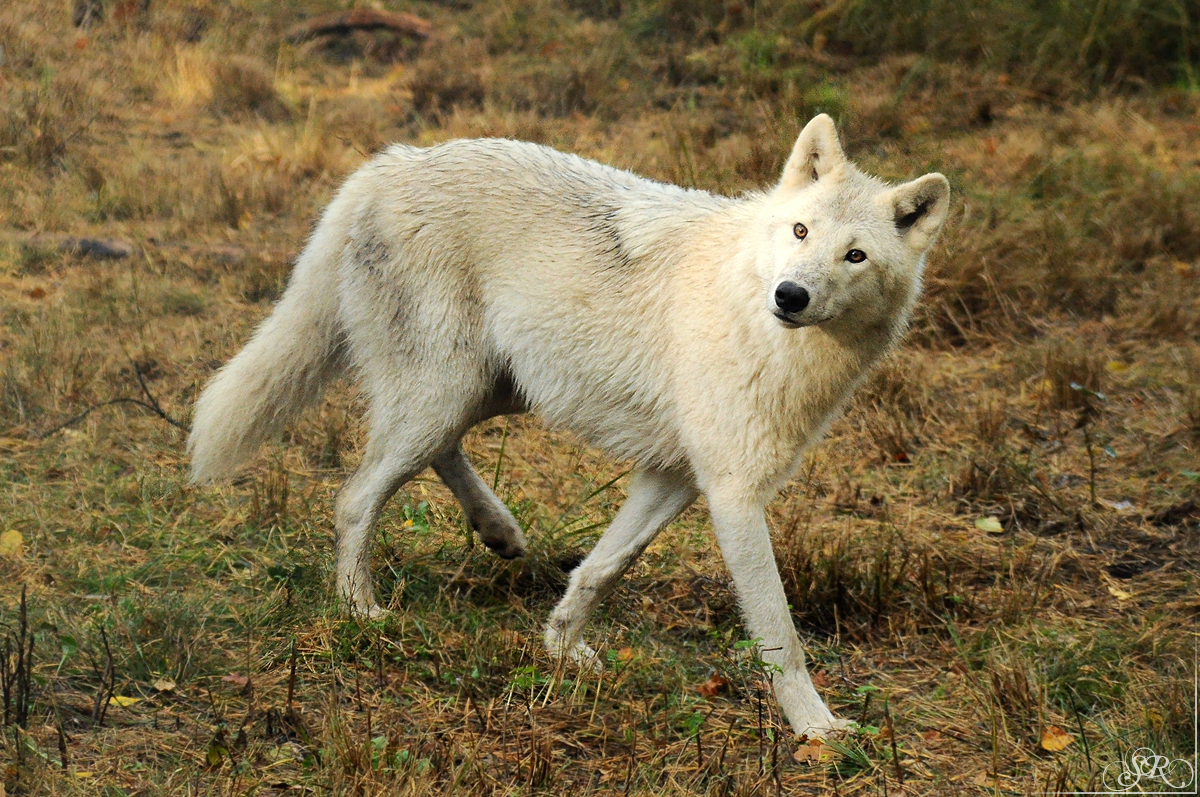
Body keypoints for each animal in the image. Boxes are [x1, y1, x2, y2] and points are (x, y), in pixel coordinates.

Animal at [188, 114, 950, 737]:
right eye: (800, 232)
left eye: (855, 255)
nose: (790, 295)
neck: (764, 328)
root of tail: (390, 162)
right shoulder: (733, 495)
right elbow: (779, 632)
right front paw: (816, 728)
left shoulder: (675, 477)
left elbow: (603, 568)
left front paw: (560, 647)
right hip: (447, 393)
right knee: (354, 497)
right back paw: (360, 610)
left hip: (489, 392)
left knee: (437, 454)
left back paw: (499, 531)